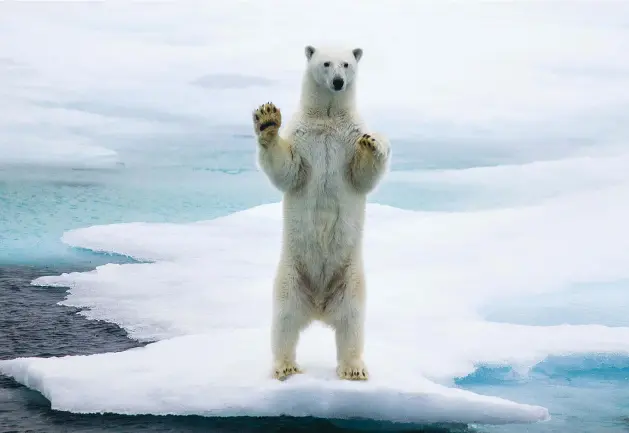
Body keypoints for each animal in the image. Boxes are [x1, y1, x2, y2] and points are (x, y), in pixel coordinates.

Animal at [251, 45, 390, 380]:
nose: (338, 82)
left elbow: (361, 175)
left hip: (351, 278)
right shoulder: (303, 138)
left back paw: (353, 369)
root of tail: (318, 307)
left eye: (346, 64)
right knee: (284, 320)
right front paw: (267, 120)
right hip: (290, 275)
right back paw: (286, 366)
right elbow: (288, 170)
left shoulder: (348, 135)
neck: (327, 118)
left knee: (352, 323)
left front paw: (373, 142)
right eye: (326, 63)